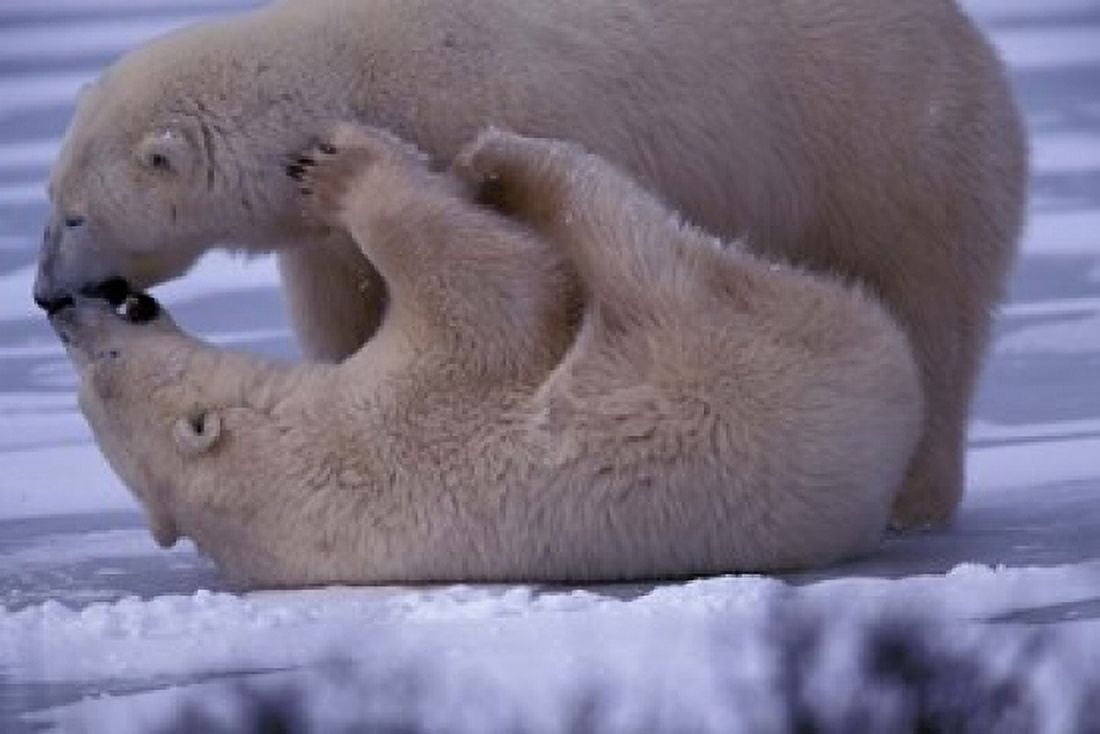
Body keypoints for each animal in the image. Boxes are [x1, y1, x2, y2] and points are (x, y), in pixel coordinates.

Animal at [33, 0, 1027, 529]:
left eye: (74, 211)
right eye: (49, 197)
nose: (44, 293)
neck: (348, 71)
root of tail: (976, 47)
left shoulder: (495, 107)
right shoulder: (321, 236)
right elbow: (344, 300)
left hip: (891, 149)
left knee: (929, 305)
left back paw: (912, 497)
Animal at [50, 126, 923, 585]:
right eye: (102, 376)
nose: (66, 310)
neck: (283, 469)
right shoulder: (411, 414)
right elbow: (500, 288)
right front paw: (344, 170)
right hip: (726, 361)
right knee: (630, 240)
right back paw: (507, 160)